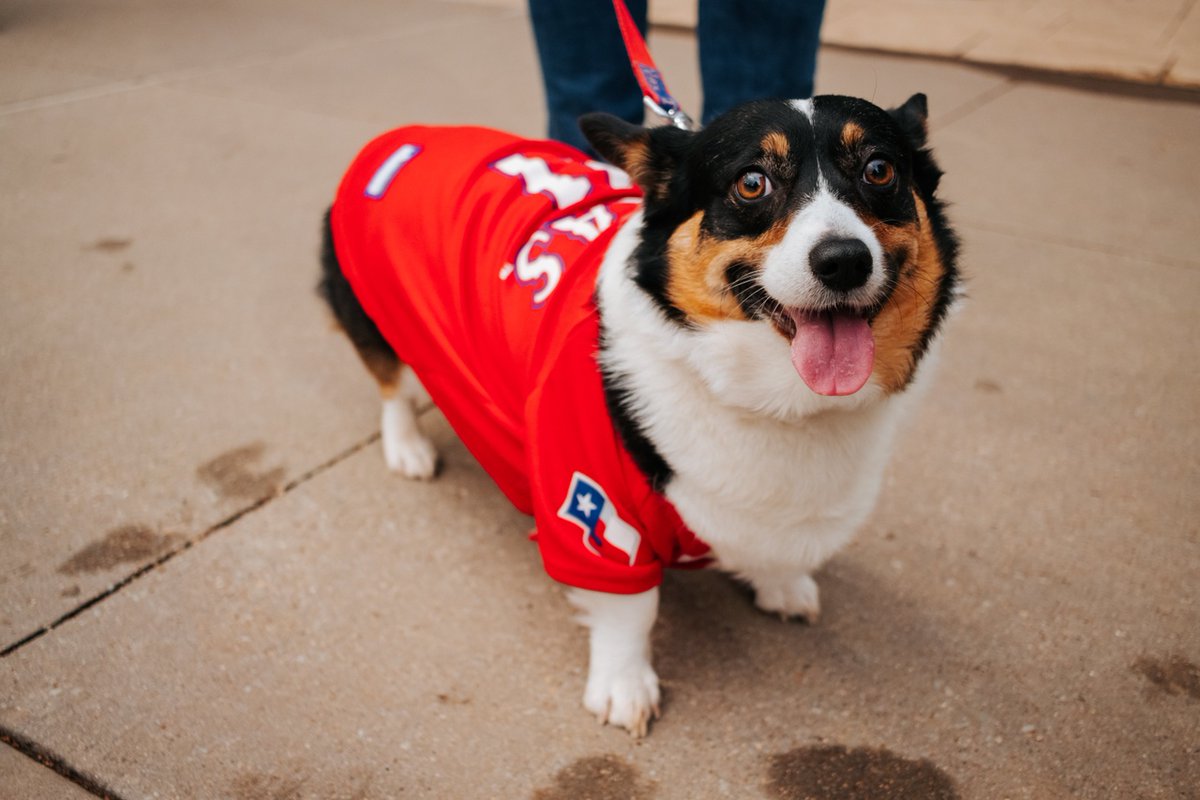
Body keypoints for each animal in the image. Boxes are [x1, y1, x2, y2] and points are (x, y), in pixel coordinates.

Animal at [316, 94, 955, 738]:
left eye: (879, 170)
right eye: (752, 182)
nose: (844, 261)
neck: (775, 403)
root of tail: (406, 133)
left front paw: (780, 584)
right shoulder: (591, 510)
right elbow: (631, 610)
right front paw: (624, 686)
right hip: (376, 309)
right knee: (392, 383)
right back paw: (407, 447)